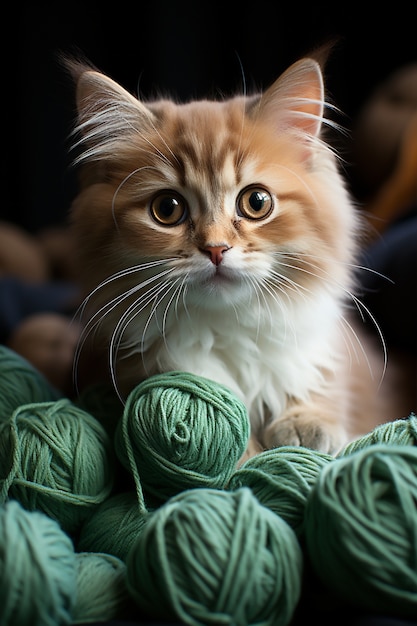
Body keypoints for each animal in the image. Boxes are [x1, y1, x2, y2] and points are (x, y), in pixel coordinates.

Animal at [67, 51, 370, 456]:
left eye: (256, 202)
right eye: (167, 209)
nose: (215, 248)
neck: (229, 329)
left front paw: (306, 421)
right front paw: (246, 453)